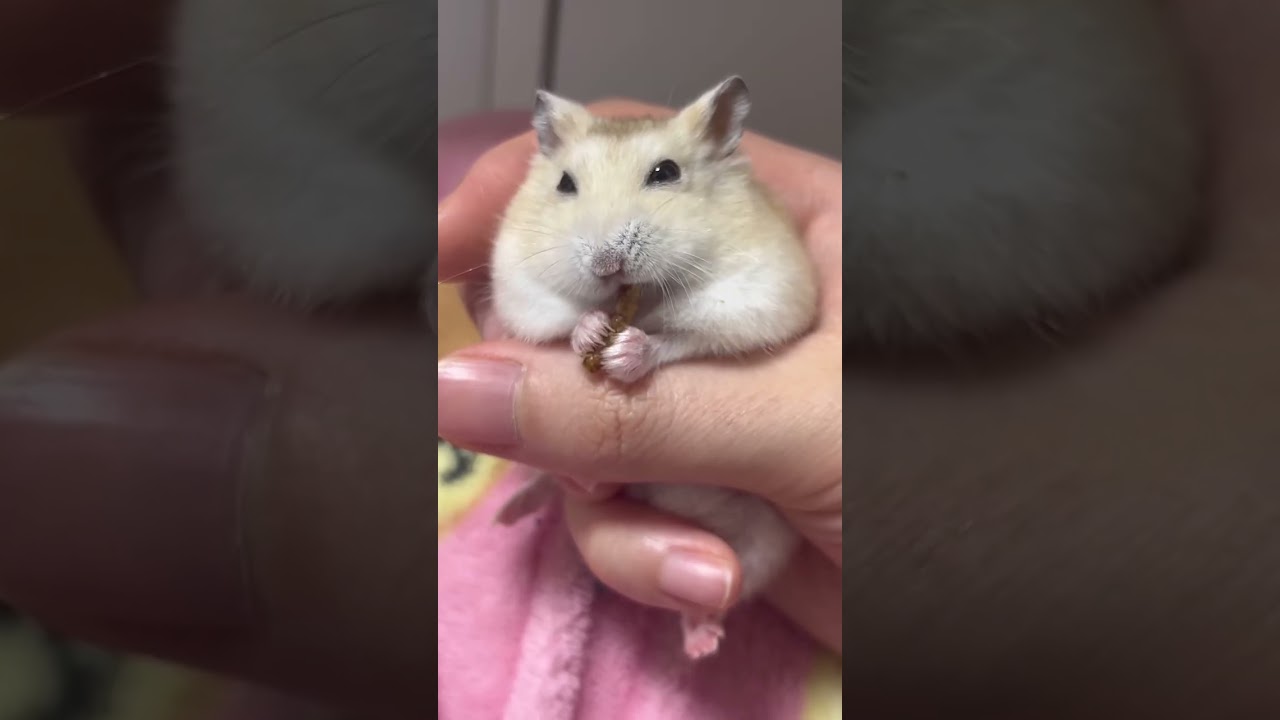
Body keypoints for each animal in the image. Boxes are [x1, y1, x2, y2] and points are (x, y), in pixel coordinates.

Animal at [490, 77, 820, 659]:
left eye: (666, 172)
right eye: (565, 183)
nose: (607, 264)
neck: (637, 300)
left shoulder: (759, 299)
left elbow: (683, 338)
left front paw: (624, 353)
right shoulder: (521, 286)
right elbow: (563, 319)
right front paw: (591, 331)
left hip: (761, 546)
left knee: (719, 591)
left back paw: (701, 644)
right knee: (552, 482)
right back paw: (509, 514)